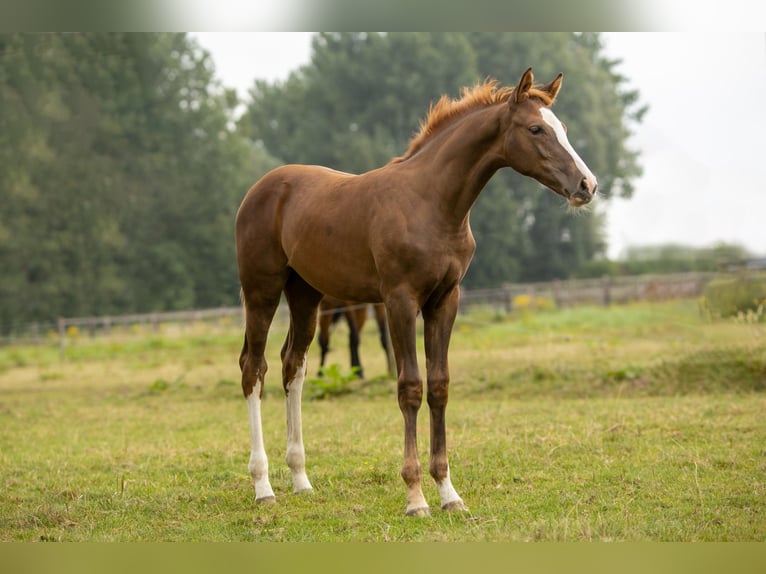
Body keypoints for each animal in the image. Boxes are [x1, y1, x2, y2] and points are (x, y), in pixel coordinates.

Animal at [237, 68, 596, 516]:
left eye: (561, 127)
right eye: (535, 129)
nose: (587, 185)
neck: (431, 204)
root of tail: (261, 188)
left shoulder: (445, 300)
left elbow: (439, 385)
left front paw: (448, 493)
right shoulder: (400, 301)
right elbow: (410, 386)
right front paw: (415, 496)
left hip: (305, 295)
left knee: (293, 365)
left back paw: (301, 479)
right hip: (261, 290)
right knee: (254, 368)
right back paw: (263, 485)